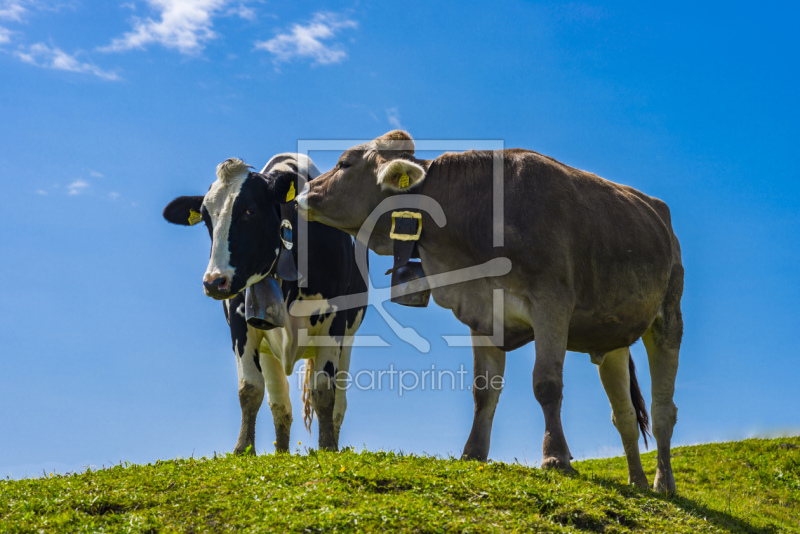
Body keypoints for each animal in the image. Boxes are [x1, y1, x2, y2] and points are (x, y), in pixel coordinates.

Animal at [163, 153, 368, 454]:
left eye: (249, 211)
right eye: (205, 218)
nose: (214, 282)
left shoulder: (334, 319)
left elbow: (323, 390)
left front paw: (328, 448)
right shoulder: (241, 321)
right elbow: (250, 389)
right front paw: (243, 449)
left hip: (349, 338)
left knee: (339, 404)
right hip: (268, 346)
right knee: (280, 404)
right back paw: (281, 452)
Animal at [296, 131, 684, 494]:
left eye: (344, 163)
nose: (302, 195)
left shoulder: (552, 302)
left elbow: (546, 383)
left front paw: (556, 458)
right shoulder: (483, 311)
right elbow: (483, 389)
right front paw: (473, 453)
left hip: (668, 317)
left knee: (663, 409)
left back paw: (664, 483)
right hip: (613, 337)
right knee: (625, 415)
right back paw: (637, 482)